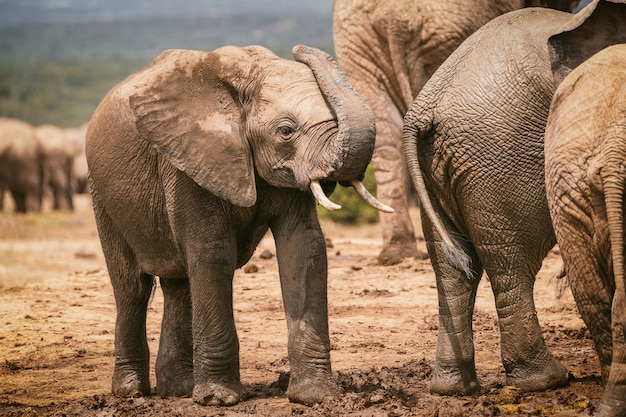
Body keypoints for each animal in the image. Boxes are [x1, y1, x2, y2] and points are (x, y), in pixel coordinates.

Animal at [86, 44, 390, 404]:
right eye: (286, 131)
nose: (299, 49)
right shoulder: (189, 159)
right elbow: (214, 254)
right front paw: (219, 399)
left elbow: (305, 248)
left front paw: (319, 397)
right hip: (102, 193)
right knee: (132, 287)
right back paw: (131, 392)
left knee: (179, 285)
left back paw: (179, 390)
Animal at [400, 0, 624, 396]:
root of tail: (424, 110)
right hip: (500, 160)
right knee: (513, 265)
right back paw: (547, 381)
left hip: (442, 165)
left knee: (452, 269)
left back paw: (455, 389)